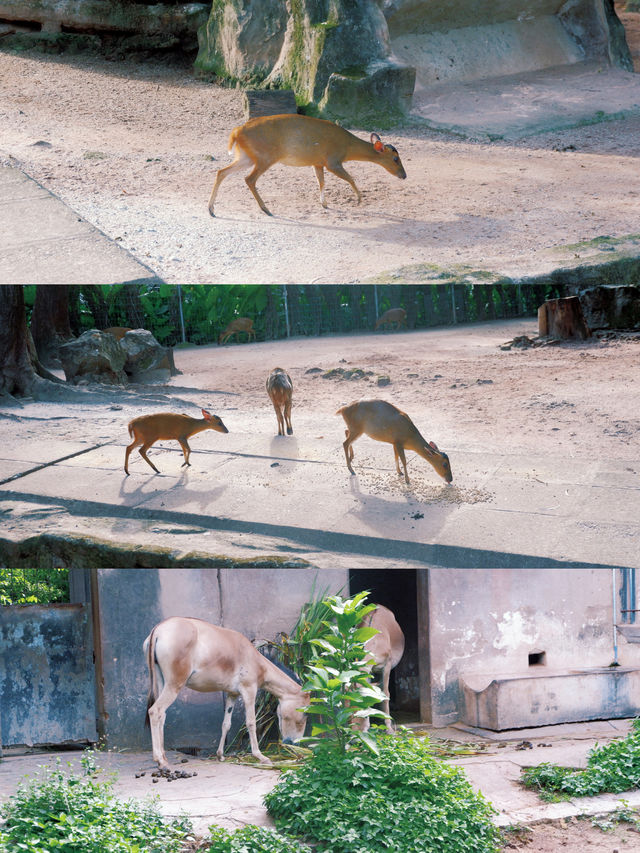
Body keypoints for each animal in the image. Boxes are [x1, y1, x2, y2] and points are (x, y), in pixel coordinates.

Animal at [144, 616, 308, 768]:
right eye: (305, 714)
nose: (295, 744)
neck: (256, 661)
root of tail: (158, 630)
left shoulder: (232, 694)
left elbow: (226, 724)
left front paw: (220, 755)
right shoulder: (249, 690)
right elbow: (251, 722)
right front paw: (261, 757)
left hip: (162, 682)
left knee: (162, 715)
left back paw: (163, 757)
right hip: (174, 684)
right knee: (154, 711)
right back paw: (160, 760)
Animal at [208, 111, 408, 218]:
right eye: (395, 158)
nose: (404, 175)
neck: (348, 147)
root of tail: (236, 132)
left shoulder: (318, 162)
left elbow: (321, 182)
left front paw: (324, 204)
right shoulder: (332, 160)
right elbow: (350, 178)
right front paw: (359, 199)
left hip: (247, 156)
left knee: (221, 171)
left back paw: (211, 209)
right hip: (266, 156)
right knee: (249, 179)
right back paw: (266, 209)